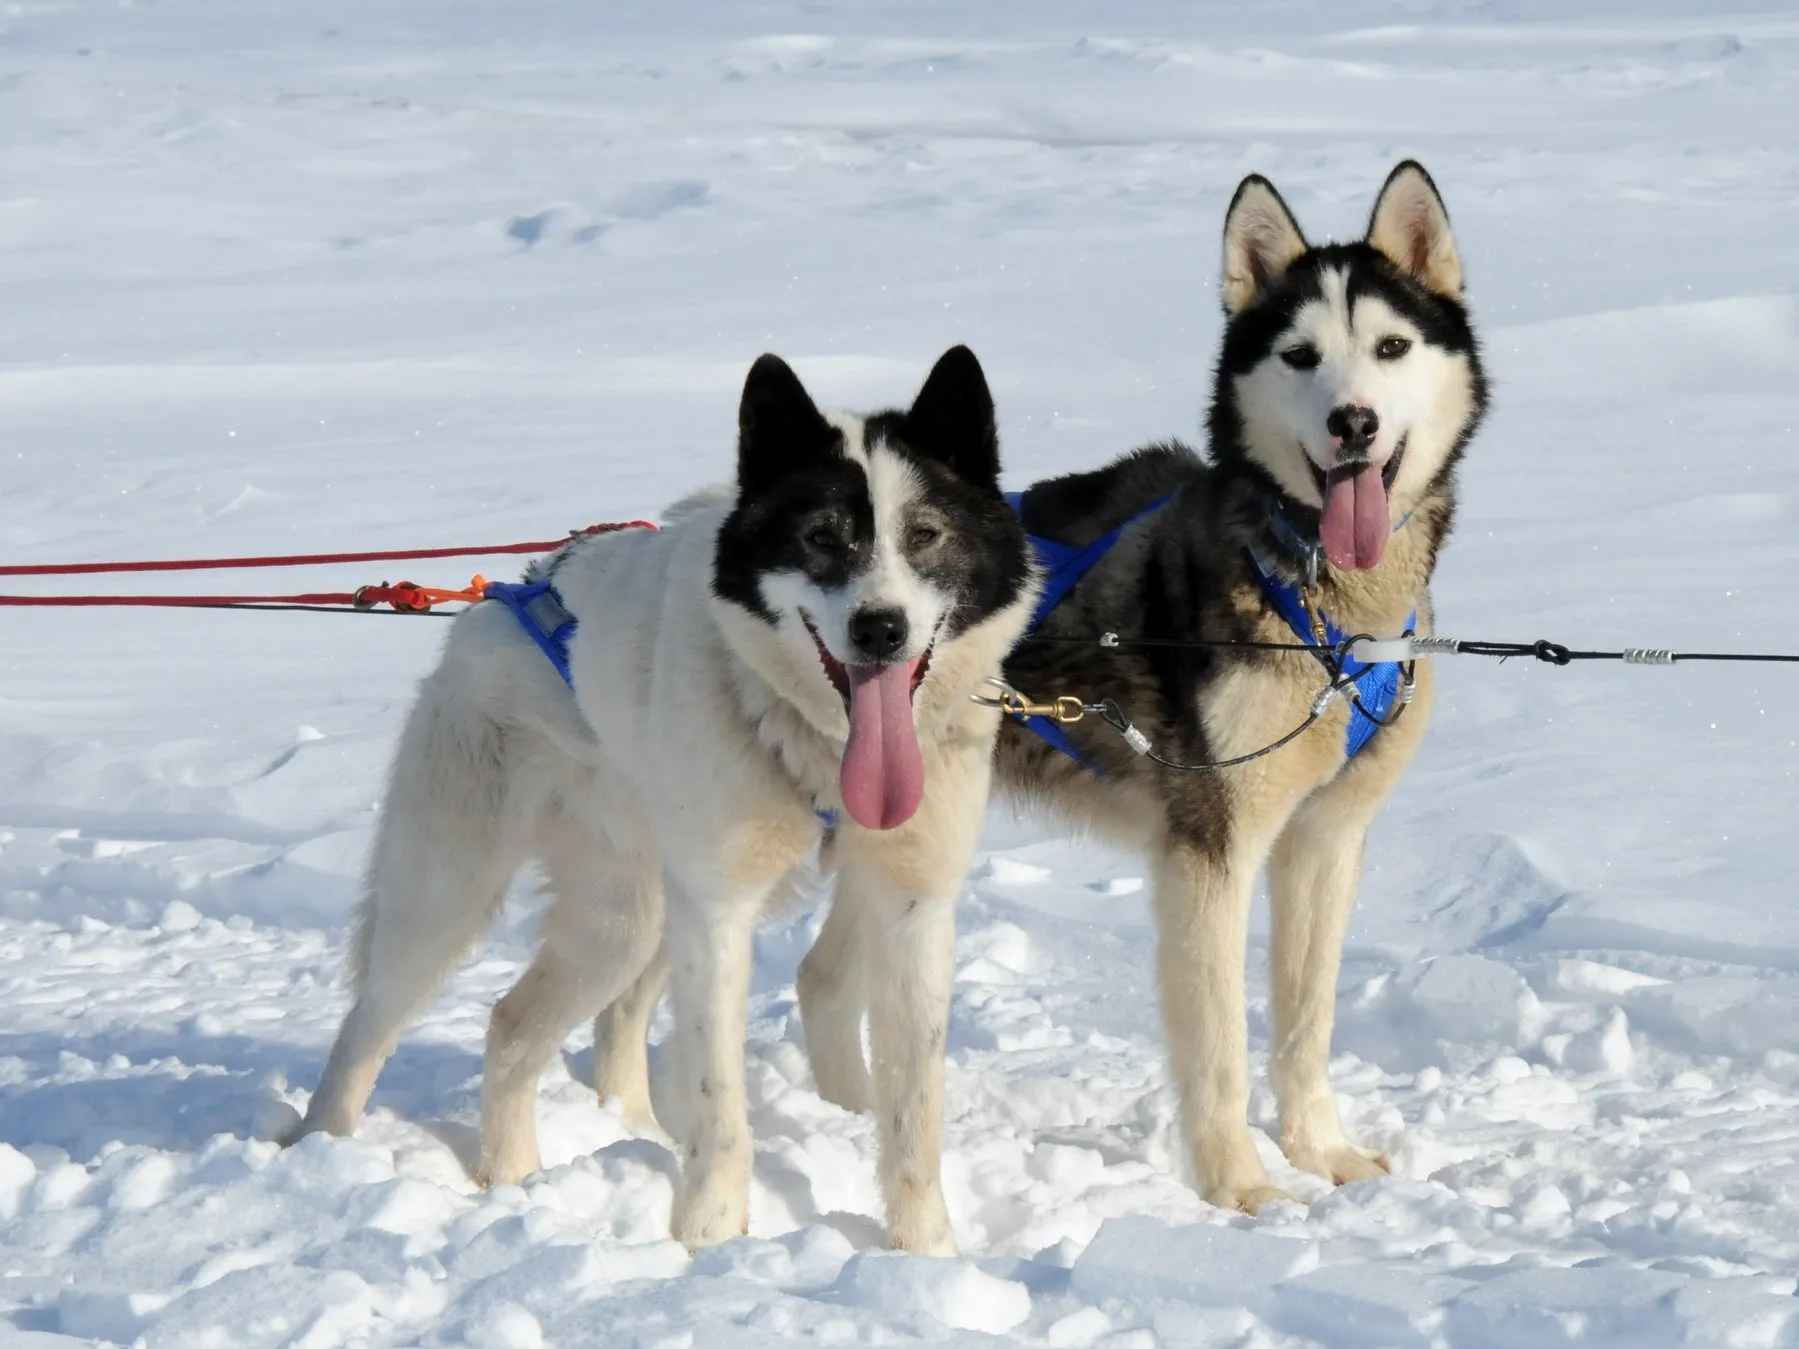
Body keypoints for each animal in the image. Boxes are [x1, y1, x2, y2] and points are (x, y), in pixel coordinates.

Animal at [287, 348, 1036, 1259]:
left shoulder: (911, 906)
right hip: (450, 895)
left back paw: (526, 1172)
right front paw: (708, 1240)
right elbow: (720, 1105)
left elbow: (913, 1112)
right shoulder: (717, 913)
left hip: (626, 920)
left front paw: (926, 1254)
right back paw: (324, 1151)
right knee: (369, 1023)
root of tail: (500, 602)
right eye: (820, 536)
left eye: (925, 533)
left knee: (513, 1025)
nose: (880, 628)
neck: (815, 741)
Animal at [798, 158, 1475, 1215]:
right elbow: (1222, 1046)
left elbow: (1305, 1021)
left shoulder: (1325, 839)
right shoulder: (1209, 851)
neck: (1320, 608)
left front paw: (1322, 1153)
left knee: (824, 978)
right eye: (1299, 355)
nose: (1352, 421)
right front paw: (1240, 1188)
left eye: (1390, 346)